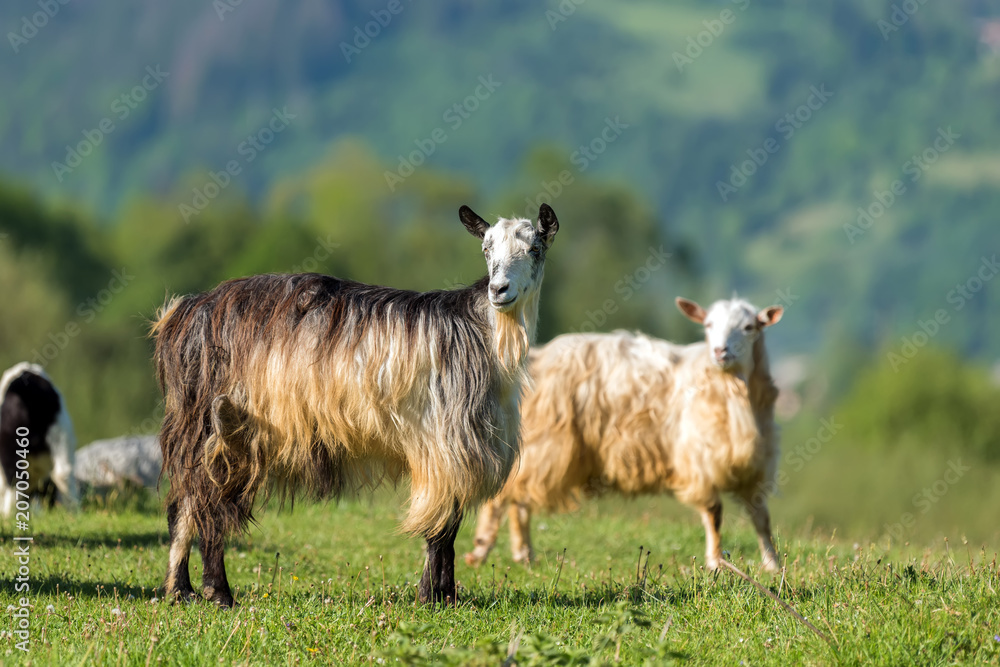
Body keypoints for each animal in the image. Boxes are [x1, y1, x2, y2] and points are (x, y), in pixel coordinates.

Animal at [152, 204, 559, 607]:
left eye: (535, 249)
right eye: (486, 249)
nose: (498, 289)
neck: (482, 335)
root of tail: (185, 311)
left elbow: (451, 525)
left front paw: (447, 594)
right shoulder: (442, 443)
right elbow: (439, 529)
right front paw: (431, 596)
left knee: (188, 503)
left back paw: (182, 590)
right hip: (211, 424)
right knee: (202, 501)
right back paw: (216, 592)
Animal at [464, 296, 783, 573]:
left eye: (750, 327)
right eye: (708, 325)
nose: (720, 352)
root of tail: (534, 359)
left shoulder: (756, 465)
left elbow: (762, 518)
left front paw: (773, 564)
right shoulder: (699, 460)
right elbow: (714, 513)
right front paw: (716, 563)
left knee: (518, 499)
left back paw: (523, 554)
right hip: (543, 444)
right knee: (506, 495)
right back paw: (484, 550)